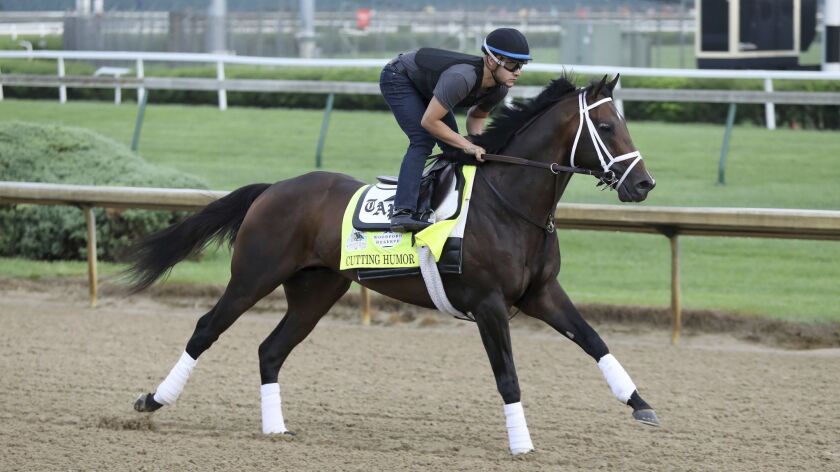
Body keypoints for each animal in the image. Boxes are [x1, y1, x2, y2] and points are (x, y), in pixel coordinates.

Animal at [130, 75, 656, 456]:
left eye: (624, 123)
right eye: (607, 127)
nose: (644, 184)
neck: (509, 204)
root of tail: (274, 188)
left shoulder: (541, 293)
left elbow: (594, 340)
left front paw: (641, 404)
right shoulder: (488, 304)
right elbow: (507, 375)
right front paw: (522, 444)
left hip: (316, 291)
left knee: (270, 350)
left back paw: (275, 429)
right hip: (253, 276)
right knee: (206, 329)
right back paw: (153, 399)